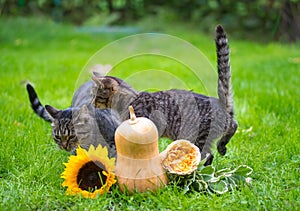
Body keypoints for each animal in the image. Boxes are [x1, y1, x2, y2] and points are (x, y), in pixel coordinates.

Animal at [90, 24, 238, 166]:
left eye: (94, 95)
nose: (90, 103)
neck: (129, 100)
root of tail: (220, 103)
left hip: (196, 136)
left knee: (206, 155)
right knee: (232, 126)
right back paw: (221, 147)